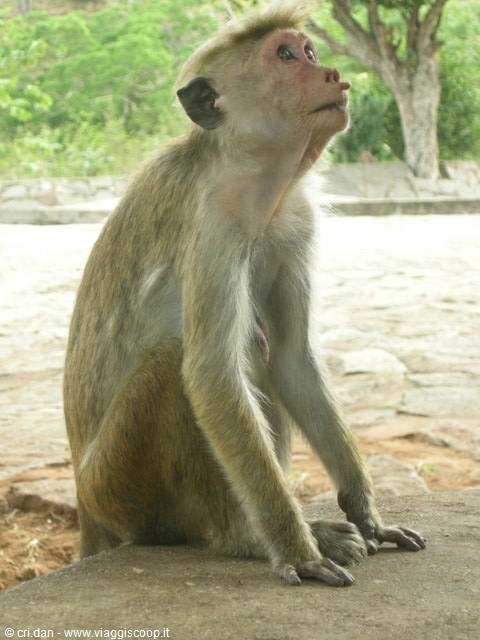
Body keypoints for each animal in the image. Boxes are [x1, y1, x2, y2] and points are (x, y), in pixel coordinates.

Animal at [63, 1, 425, 587]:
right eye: (286, 56)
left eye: (310, 52)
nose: (331, 74)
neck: (254, 177)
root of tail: (85, 507)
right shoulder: (213, 222)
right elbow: (211, 375)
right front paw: (295, 547)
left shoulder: (296, 220)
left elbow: (293, 356)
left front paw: (366, 512)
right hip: (118, 487)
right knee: (179, 364)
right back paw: (243, 538)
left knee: (259, 350)